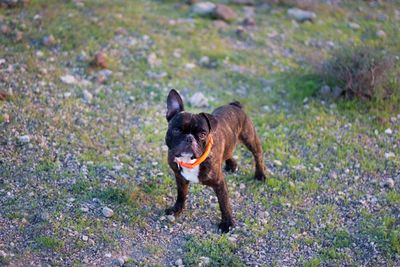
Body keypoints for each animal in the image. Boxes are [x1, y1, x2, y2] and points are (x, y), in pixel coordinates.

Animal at [164, 89, 268, 232]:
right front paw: (176, 210)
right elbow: (181, 195)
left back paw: (260, 174)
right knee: (229, 151)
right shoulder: (180, 178)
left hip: (250, 138)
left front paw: (227, 223)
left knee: (258, 154)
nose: (189, 138)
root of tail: (234, 105)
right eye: (176, 130)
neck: (191, 161)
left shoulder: (219, 184)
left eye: (202, 134)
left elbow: (224, 204)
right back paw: (231, 164)